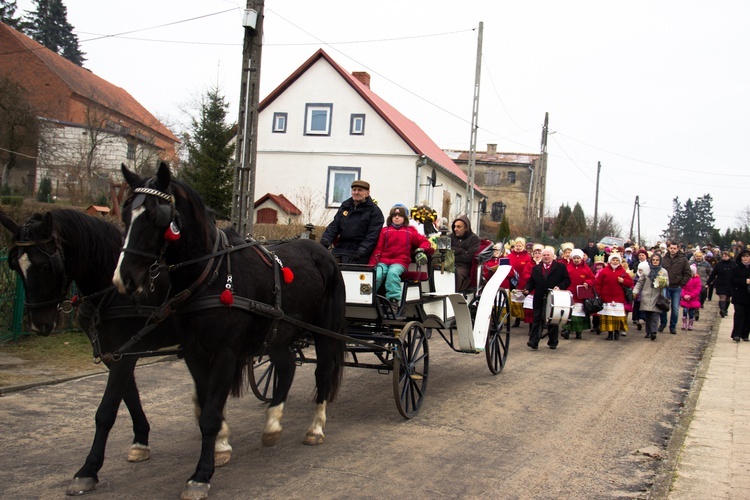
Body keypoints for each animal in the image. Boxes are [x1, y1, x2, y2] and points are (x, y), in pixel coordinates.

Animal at [0, 210, 234, 496]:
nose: (38, 324)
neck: (115, 290)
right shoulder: (115, 353)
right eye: (15, 266)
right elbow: (130, 397)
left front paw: (88, 470)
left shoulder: (127, 351)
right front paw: (140, 440)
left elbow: (107, 410)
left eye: (46, 266)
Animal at [113, 164, 348, 500]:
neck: (210, 274)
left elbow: (211, 412)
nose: (124, 279)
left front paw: (200, 476)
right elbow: (206, 403)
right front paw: (222, 445)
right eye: (125, 213)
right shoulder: (194, 354)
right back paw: (272, 425)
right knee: (287, 366)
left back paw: (315, 428)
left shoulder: (225, 354)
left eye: (156, 216)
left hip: (325, 333)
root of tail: (321, 250)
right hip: (280, 333)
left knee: (323, 374)